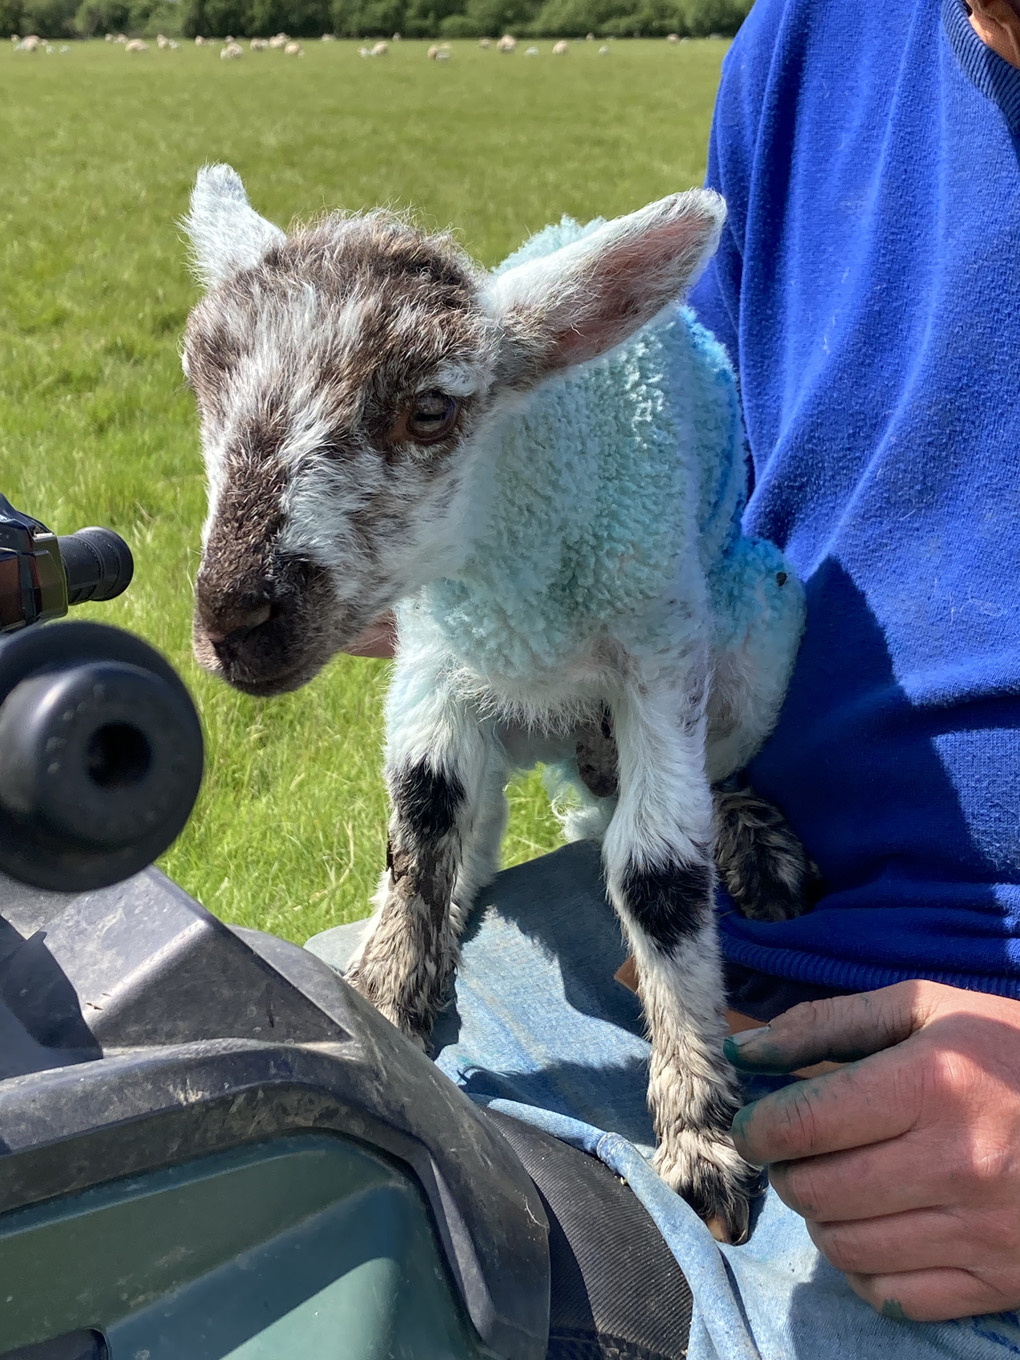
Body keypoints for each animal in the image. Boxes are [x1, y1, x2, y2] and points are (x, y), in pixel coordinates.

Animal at [182, 167, 805, 1245]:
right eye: (199, 380)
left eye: (432, 410)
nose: (233, 615)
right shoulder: (435, 657)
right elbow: (423, 812)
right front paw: (387, 1000)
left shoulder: (659, 647)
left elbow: (658, 872)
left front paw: (701, 1136)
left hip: (755, 613)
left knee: (699, 777)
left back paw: (752, 840)